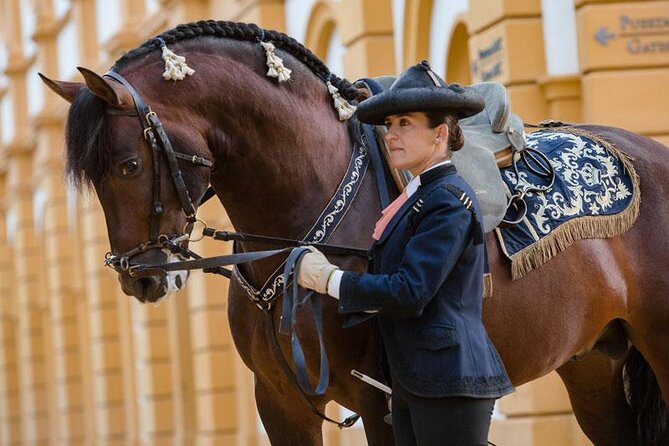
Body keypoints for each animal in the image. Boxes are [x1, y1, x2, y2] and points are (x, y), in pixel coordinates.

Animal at [41, 20, 668, 446]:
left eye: (128, 165)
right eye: (92, 177)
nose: (140, 279)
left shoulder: (381, 403)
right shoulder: (281, 403)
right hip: (593, 363)